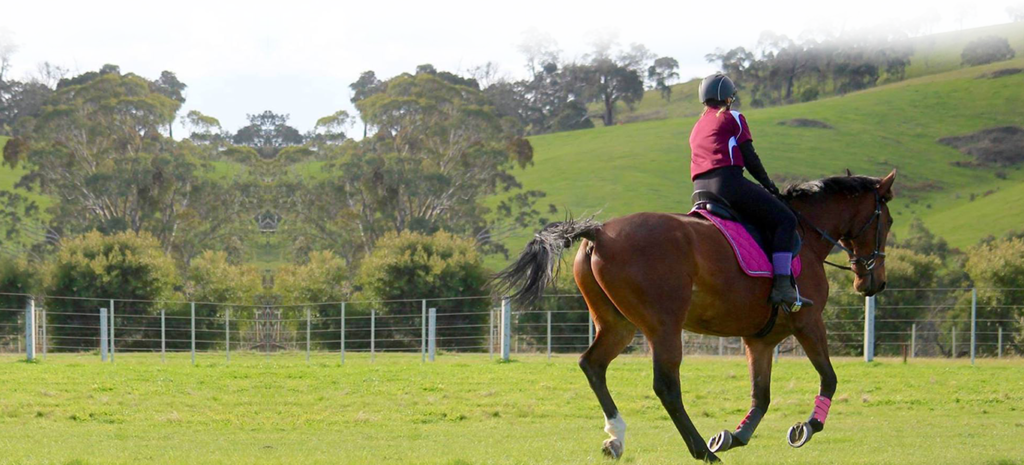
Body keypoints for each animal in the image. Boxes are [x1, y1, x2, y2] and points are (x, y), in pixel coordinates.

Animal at [495, 170, 897, 460]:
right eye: (888, 222)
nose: (874, 282)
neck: (806, 234)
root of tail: (601, 233)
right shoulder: (808, 324)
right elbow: (829, 378)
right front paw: (807, 426)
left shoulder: (760, 341)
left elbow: (761, 396)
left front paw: (735, 435)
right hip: (664, 326)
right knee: (666, 387)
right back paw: (701, 450)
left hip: (618, 326)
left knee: (592, 365)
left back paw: (617, 437)